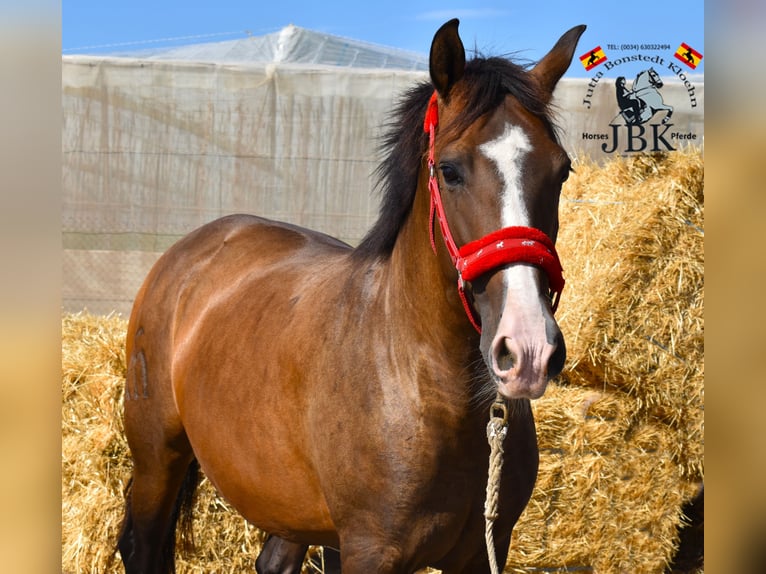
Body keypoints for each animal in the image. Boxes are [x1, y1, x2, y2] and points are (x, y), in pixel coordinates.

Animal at [116, 19, 585, 574]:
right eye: (449, 170)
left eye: (561, 171)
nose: (529, 347)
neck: (419, 382)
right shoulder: (371, 550)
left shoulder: (480, 551)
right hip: (157, 461)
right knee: (142, 543)